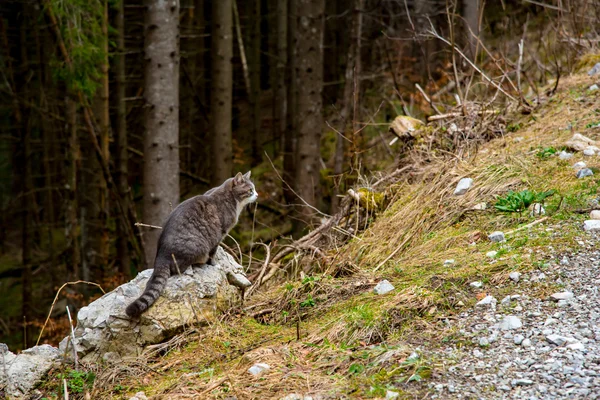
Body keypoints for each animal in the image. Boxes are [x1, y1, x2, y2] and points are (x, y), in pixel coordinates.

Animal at [125, 170, 256, 318]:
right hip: (198, 247)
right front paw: (215, 264)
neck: (231, 198)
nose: (257, 194)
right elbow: (213, 253)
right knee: (181, 267)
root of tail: (161, 256)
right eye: (250, 190)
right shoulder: (219, 234)